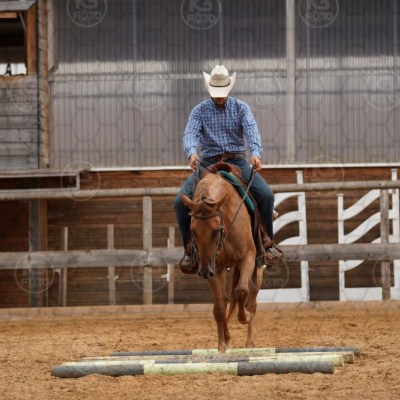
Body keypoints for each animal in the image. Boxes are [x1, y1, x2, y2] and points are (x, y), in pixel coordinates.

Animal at [181, 165, 265, 353]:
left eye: (216, 230)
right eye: (192, 230)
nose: (204, 271)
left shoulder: (248, 258)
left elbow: (241, 292)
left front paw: (244, 317)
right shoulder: (215, 267)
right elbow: (219, 307)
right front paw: (222, 345)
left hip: (257, 269)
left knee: (252, 300)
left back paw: (250, 343)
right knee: (226, 300)